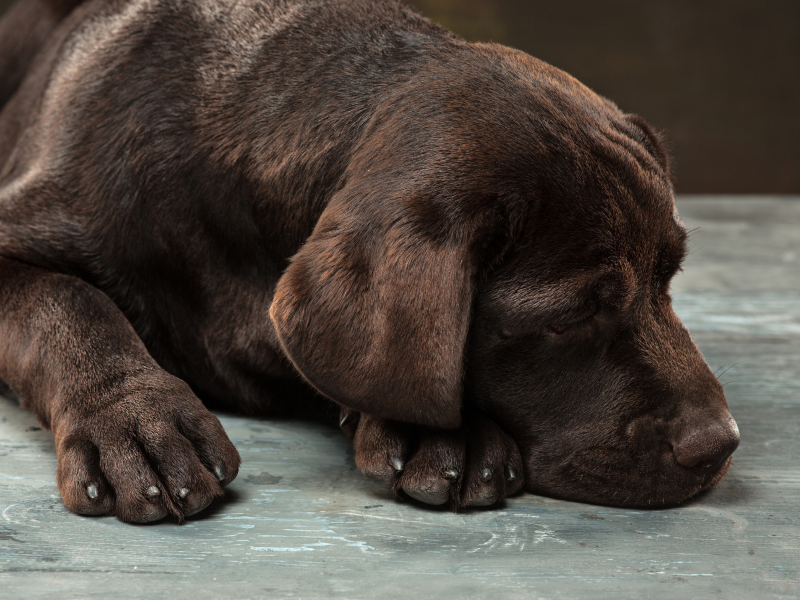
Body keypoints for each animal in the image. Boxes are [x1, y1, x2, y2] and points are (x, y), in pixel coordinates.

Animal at [0, 0, 736, 520]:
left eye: (669, 277)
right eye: (567, 319)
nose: (720, 443)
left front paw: (445, 434)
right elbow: (70, 302)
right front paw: (136, 420)